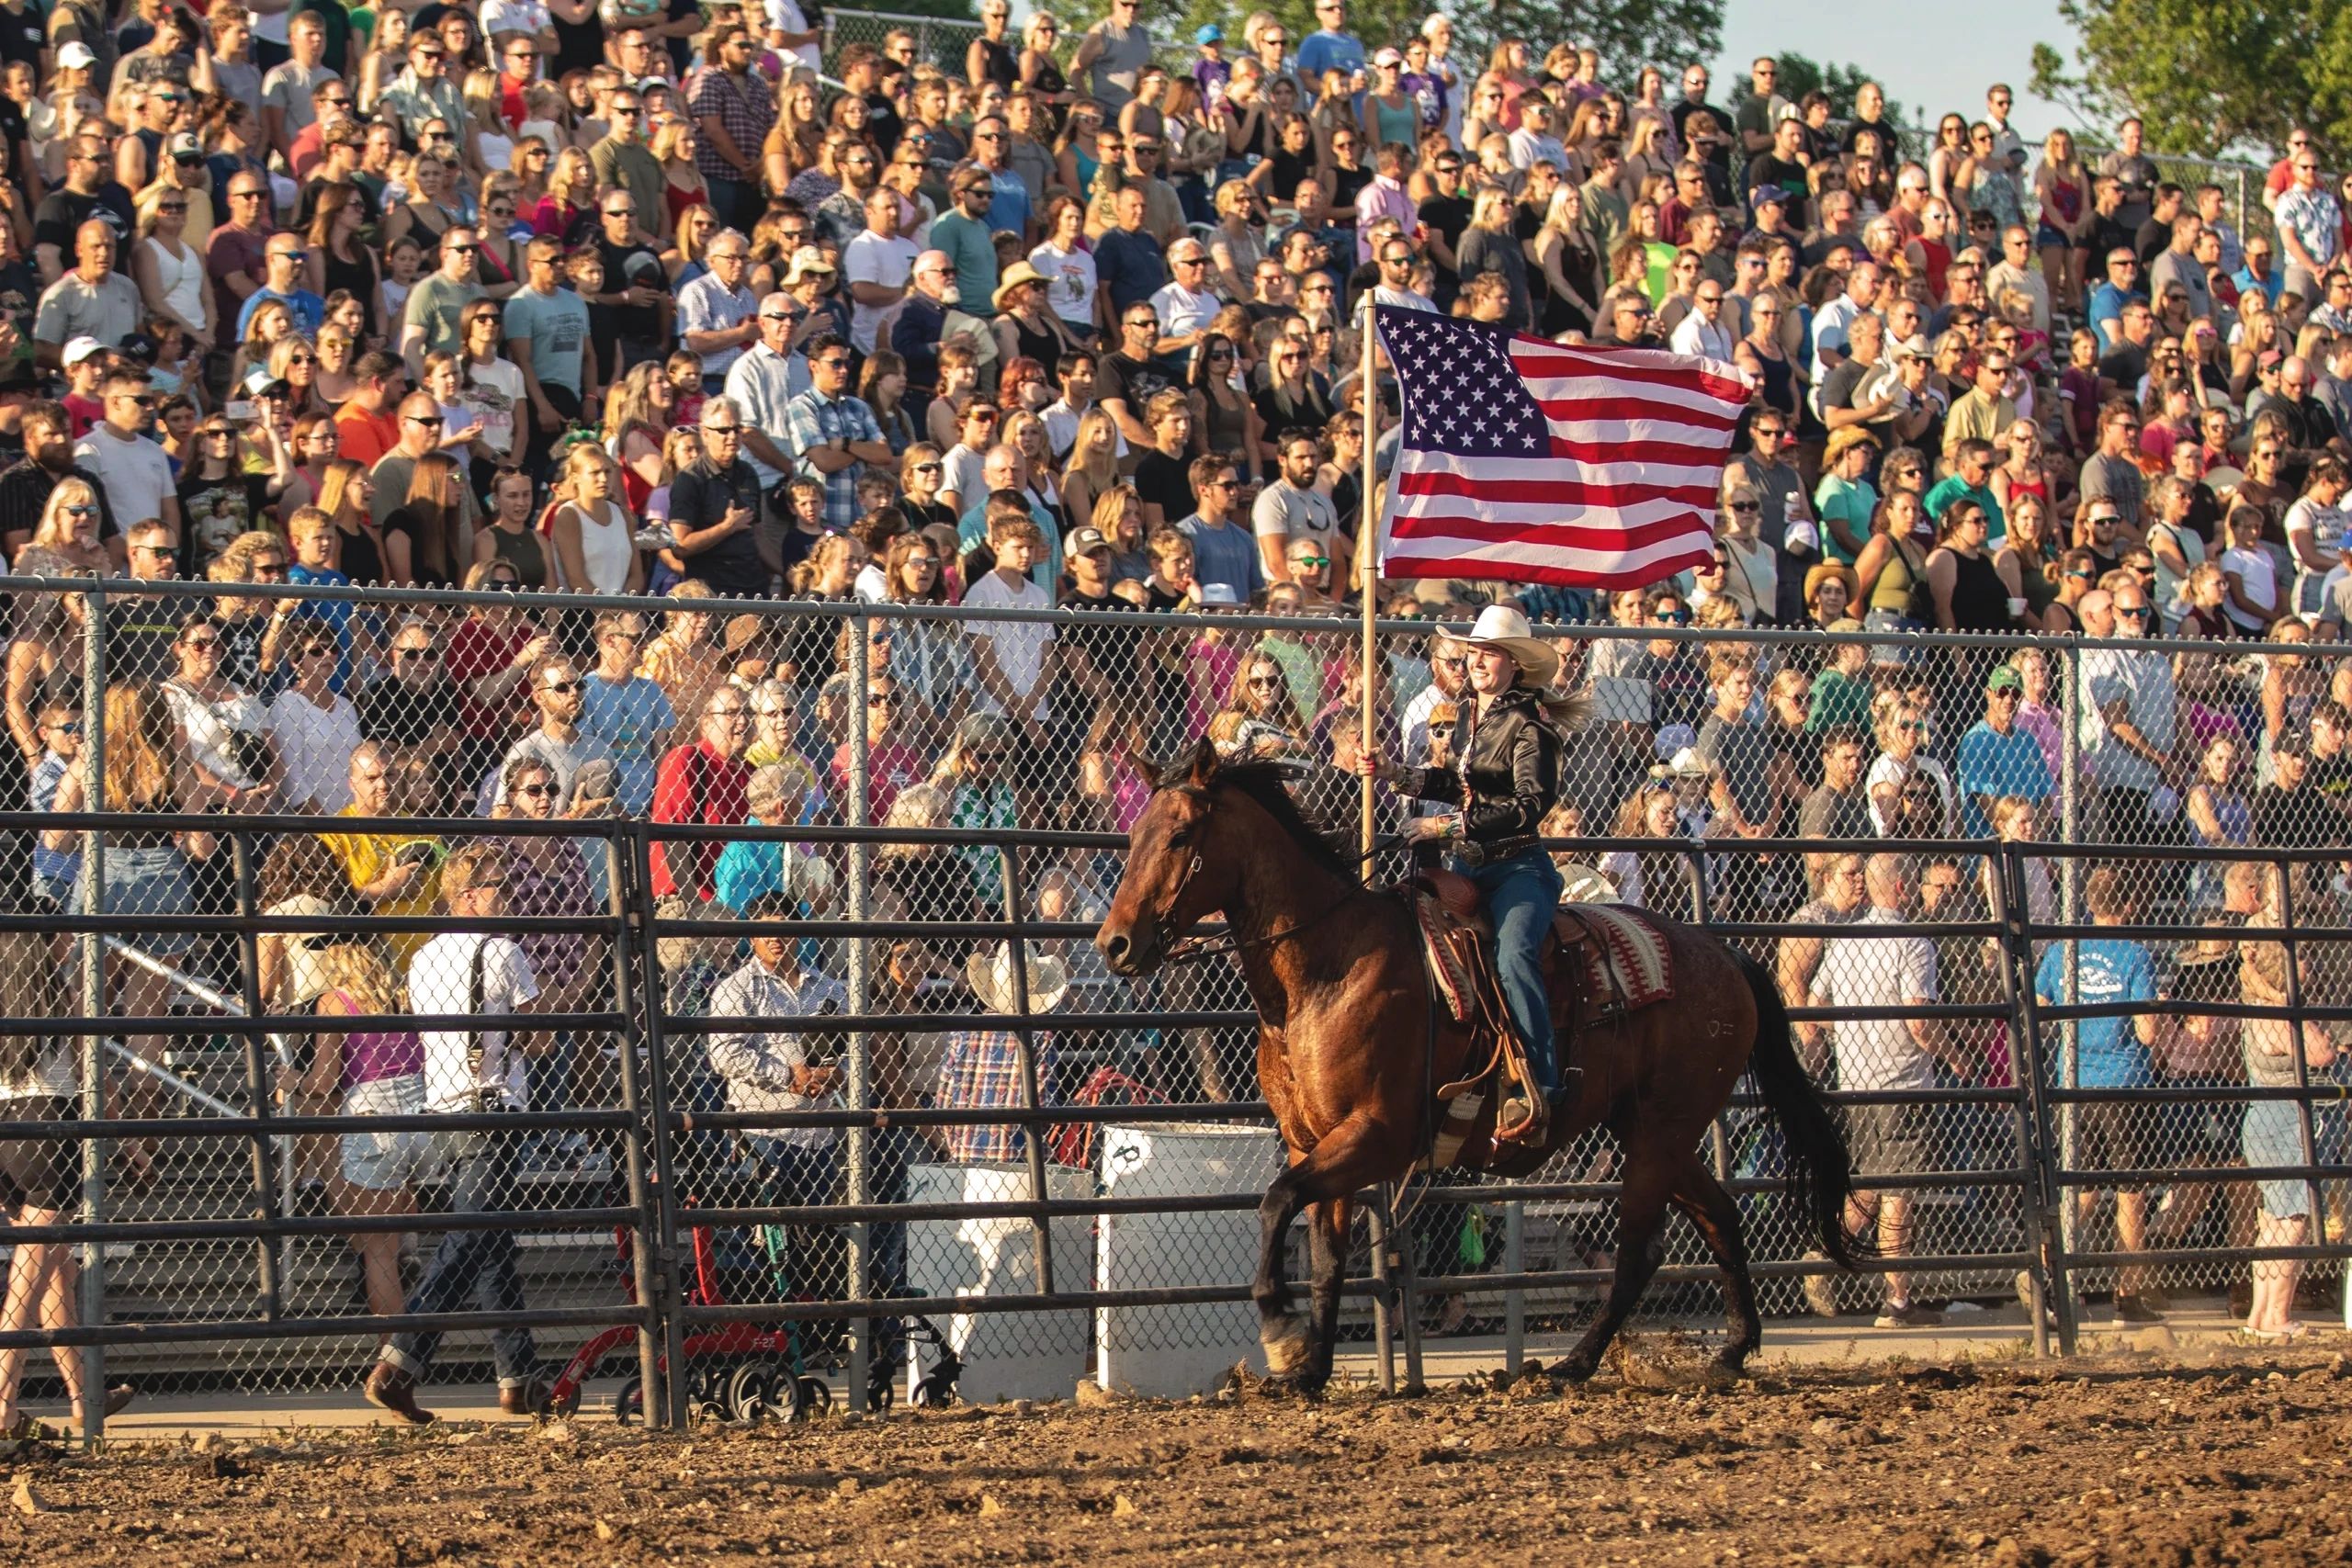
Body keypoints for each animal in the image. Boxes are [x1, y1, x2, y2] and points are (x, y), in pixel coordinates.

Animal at [1091, 742, 1862, 1392]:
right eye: (1132, 836)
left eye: (1180, 836)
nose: (1115, 944)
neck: (1330, 966)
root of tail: (1725, 956)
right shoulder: (1316, 1140)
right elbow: (1326, 1253)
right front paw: (1309, 1369)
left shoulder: (1376, 1135)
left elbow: (1277, 1202)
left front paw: (1282, 1334)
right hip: (1653, 1128)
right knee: (1720, 1215)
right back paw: (1731, 1349)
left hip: (1660, 1131)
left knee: (1641, 1250)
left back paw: (1574, 1364)